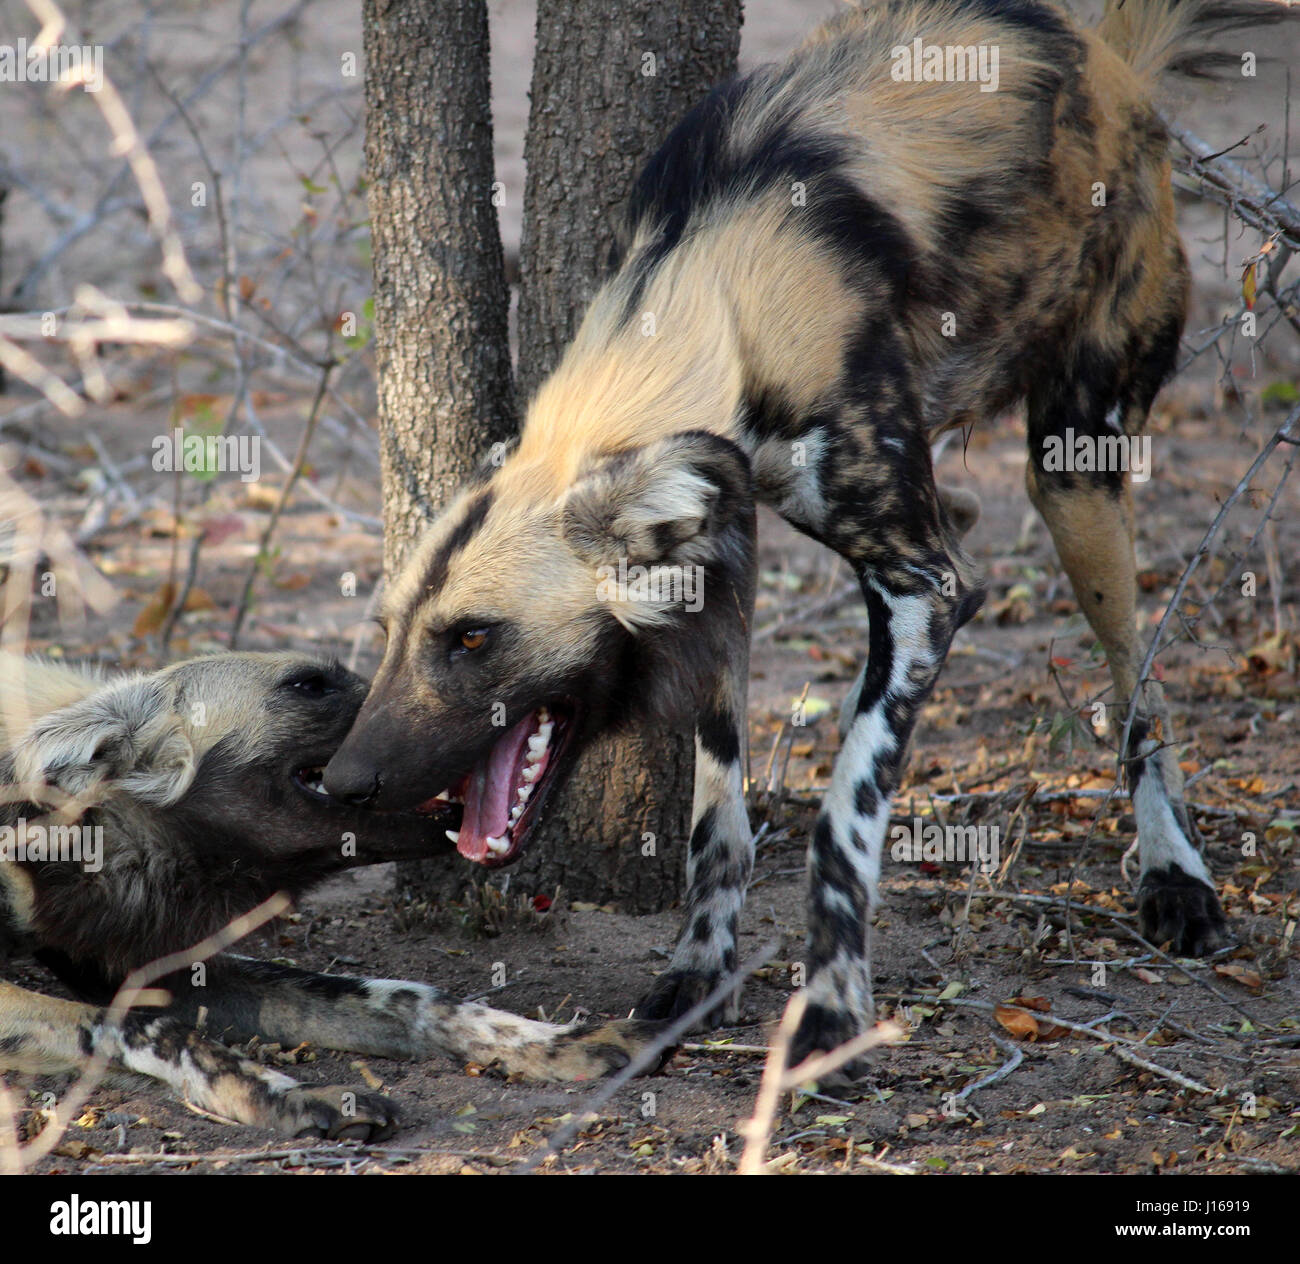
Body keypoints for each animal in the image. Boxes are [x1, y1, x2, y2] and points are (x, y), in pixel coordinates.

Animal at [0, 655, 660, 1139]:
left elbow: (409, 998)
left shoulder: (138, 962)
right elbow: (156, 1033)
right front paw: (285, 1099)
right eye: (308, 685)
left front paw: (560, 1043)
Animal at [322, 0, 1289, 1066]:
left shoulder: (919, 593)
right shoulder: (722, 561)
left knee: (1137, 680)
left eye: (473, 637)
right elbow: (717, 822)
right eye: (390, 635)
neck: (721, 298)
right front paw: (700, 972)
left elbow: (841, 819)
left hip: (1075, 472)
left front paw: (829, 1012)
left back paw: (1177, 877)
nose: (342, 783)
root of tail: (1107, 55)